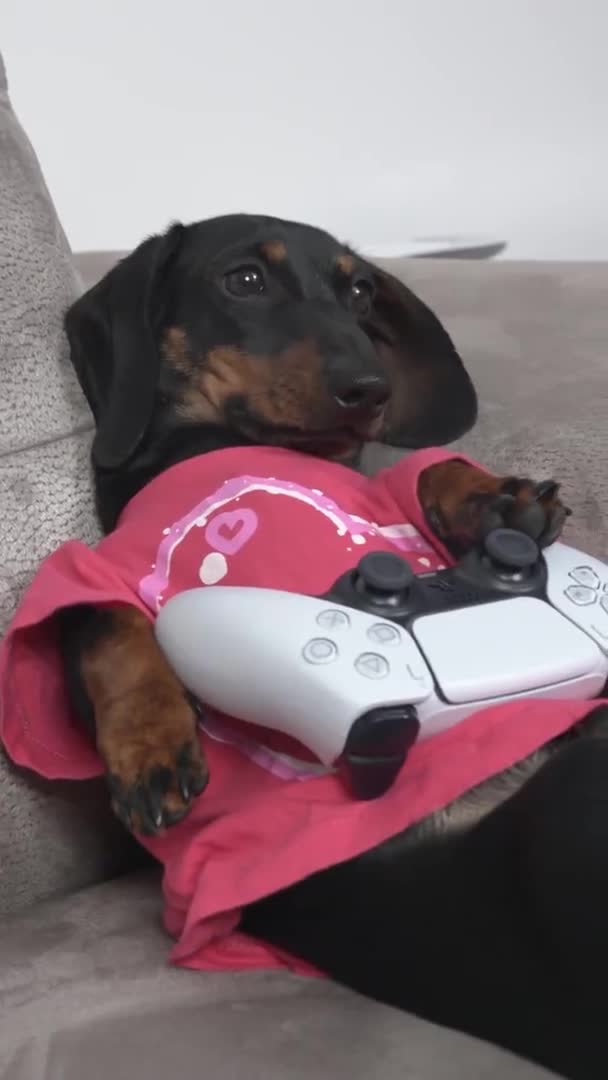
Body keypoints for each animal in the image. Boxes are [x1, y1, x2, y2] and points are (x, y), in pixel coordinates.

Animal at [58, 214, 608, 1075]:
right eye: (244, 280)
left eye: (359, 291)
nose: (372, 389)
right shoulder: (94, 575)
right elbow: (104, 620)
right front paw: (151, 746)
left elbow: (420, 474)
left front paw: (495, 499)